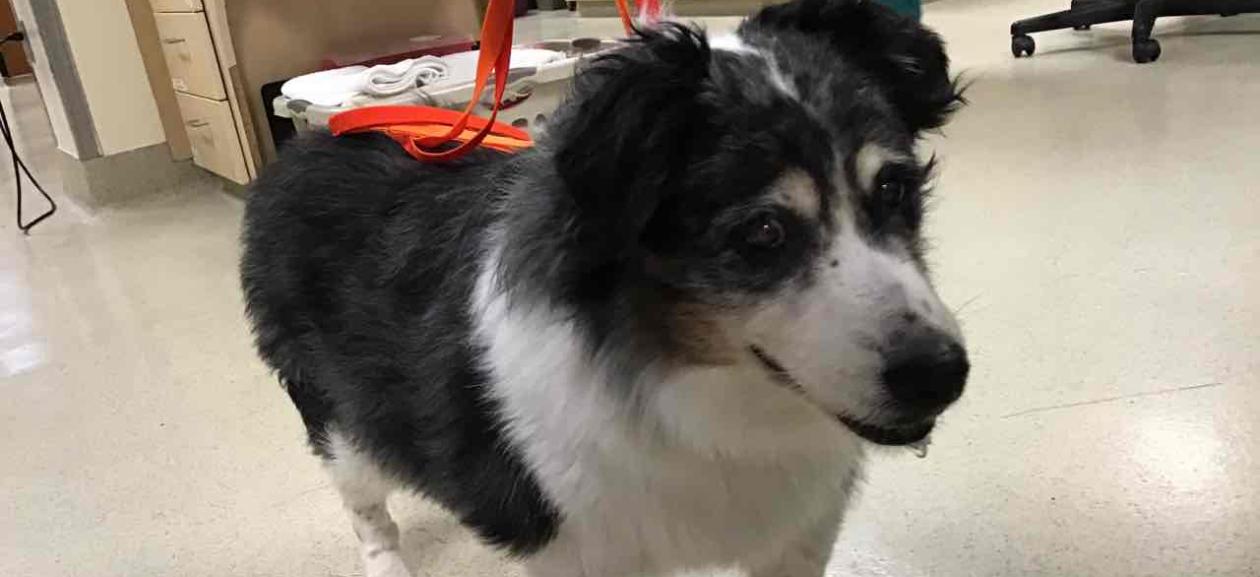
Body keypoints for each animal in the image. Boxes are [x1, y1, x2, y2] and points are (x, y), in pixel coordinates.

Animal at [238, 2, 962, 574]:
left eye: (894, 187)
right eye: (762, 231)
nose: (942, 375)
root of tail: (306, 147)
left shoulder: (800, 535)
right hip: (338, 420)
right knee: (367, 511)